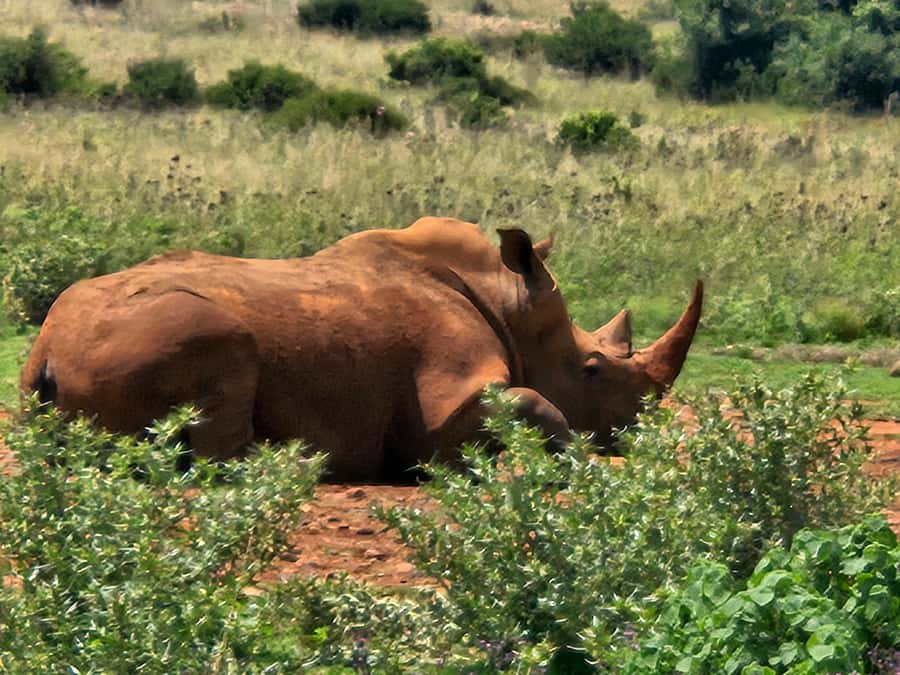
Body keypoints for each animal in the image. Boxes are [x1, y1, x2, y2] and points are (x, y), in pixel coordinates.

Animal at [21, 217, 702, 481]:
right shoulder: (446, 396)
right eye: (593, 368)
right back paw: (295, 466)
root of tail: (45, 351)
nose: (637, 432)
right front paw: (576, 462)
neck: (510, 303)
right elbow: (534, 404)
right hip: (164, 327)